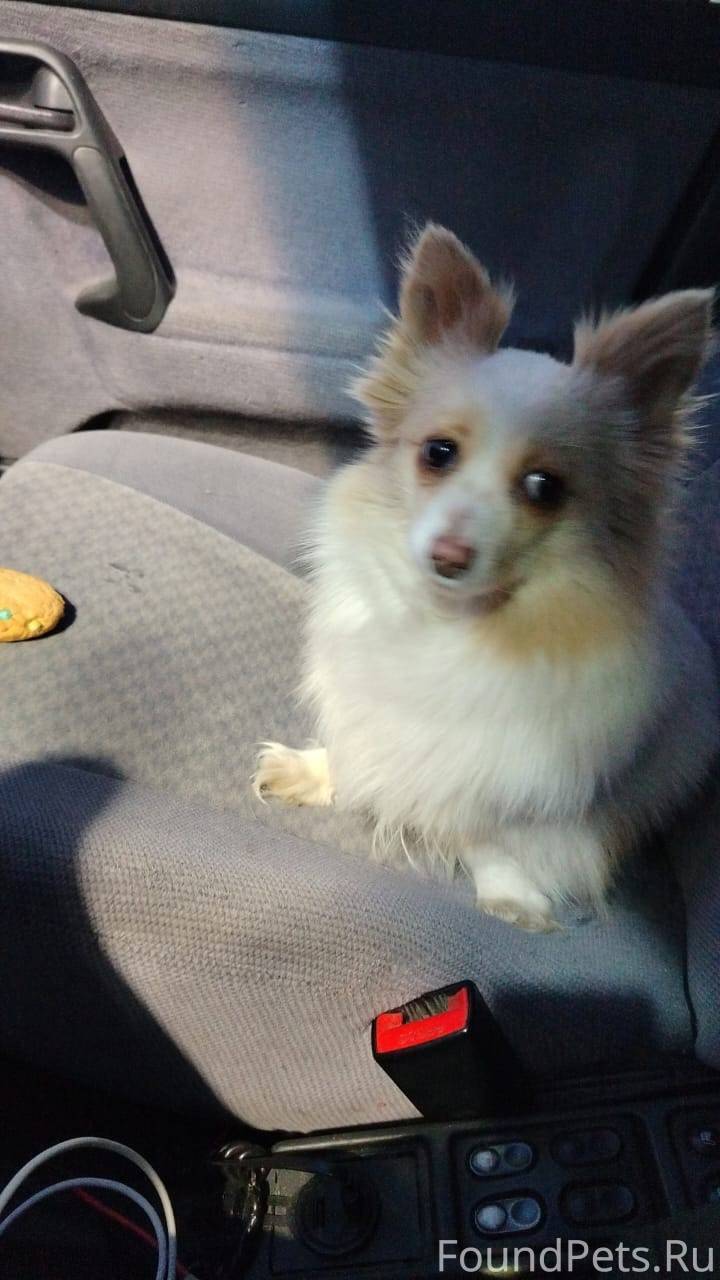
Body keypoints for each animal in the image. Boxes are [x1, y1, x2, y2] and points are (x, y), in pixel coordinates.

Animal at [253, 223, 718, 931]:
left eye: (544, 487)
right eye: (438, 453)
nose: (447, 556)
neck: (448, 625)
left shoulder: (513, 789)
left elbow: (482, 834)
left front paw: (510, 897)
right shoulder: (374, 714)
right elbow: (365, 752)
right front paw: (312, 772)